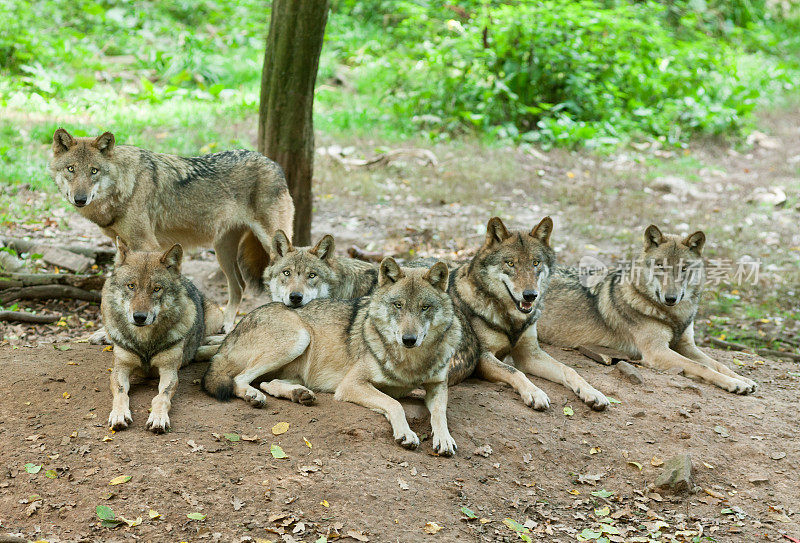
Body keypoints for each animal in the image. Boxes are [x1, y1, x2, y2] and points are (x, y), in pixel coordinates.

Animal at [47, 128, 292, 334]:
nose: (80, 199)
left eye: (94, 171)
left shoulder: (147, 244)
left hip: (271, 243)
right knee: (239, 286)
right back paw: (226, 327)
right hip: (222, 250)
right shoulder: (121, 245)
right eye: (71, 169)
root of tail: (274, 163)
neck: (125, 186)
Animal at [102, 238, 225, 434]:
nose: (139, 317)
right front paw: (119, 415)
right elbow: (121, 393)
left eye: (156, 289)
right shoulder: (120, 368)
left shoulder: (169, 371)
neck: (145, 342)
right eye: (131, 286)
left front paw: (158, 417)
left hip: (215, 317)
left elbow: (161, 397)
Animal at [202, 260, 462, 454]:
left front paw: (444, 439)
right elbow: (394, 403)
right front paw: (406, 433)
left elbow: (440, 414)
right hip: (298, 338)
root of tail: (234, 328)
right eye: (398, 305)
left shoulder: (438, 385)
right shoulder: (351, 384)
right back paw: (253, 395)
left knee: (268, 382)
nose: (409, 339)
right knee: (240, 380)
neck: (411, 361)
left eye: (425, 307)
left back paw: (299, 395)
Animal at [446, 217, 608, 412]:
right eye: (510, 263)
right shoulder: (483, 358)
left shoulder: (529, 355)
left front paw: (592, 392)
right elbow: (515, 371)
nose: (530, 295)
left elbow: (568, 369)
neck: (511, 319)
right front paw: (535, 393)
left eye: (535, 263)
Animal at [536, 225, 756, 396]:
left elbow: (718, 364)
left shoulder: (686, 345)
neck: (673, 316)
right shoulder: (657, 351)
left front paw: (742, 379)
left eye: (684, 269)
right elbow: (701, 366)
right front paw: (734, 383)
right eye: (660, 266)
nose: (671, 298)